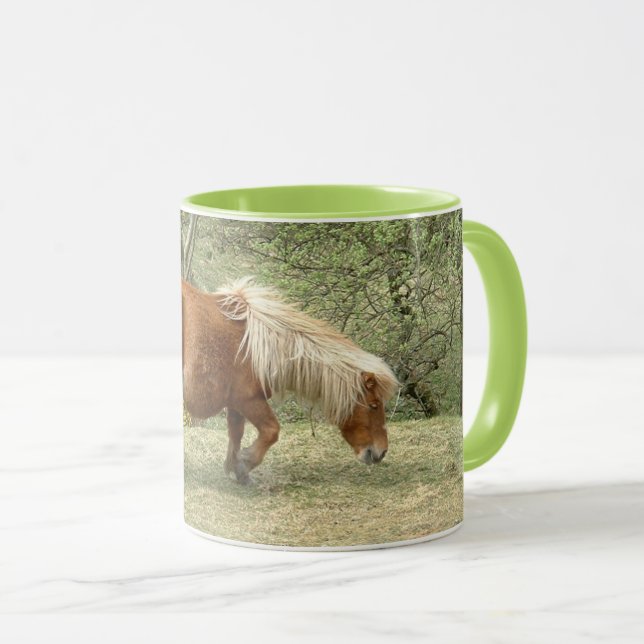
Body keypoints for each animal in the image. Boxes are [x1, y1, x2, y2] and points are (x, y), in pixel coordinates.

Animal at [181, 277, 399, 484]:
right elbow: (271, 430)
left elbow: (236, 433)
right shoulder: (248, 400)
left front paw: (236, 469)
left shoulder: (236, 403)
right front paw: (245, 462)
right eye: (373, 405)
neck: (252, 346)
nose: (382, 452)